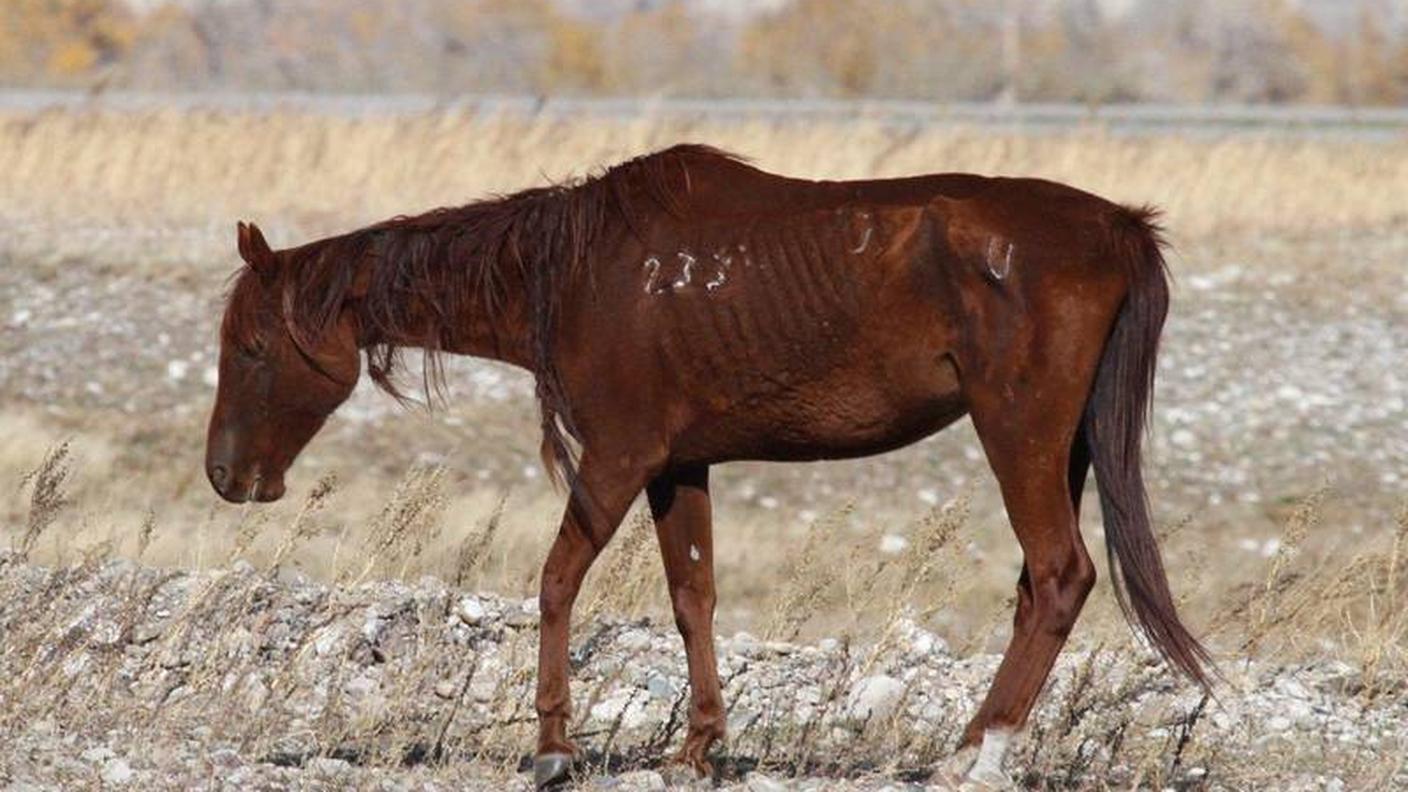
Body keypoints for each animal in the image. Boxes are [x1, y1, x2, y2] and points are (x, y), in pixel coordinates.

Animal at [206, 144, 1210, 788]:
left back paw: (975, 752)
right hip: (1061, 446)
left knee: (1059, 575)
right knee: (1040, 588)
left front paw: (554, 746)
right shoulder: (676, 468)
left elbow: (556, 582)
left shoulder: (615, 459)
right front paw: (696, 747)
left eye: (251, 348)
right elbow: (693, 596)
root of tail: (1119, 226)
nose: (225, 475)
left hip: (1019, 433)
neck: (570, 272)